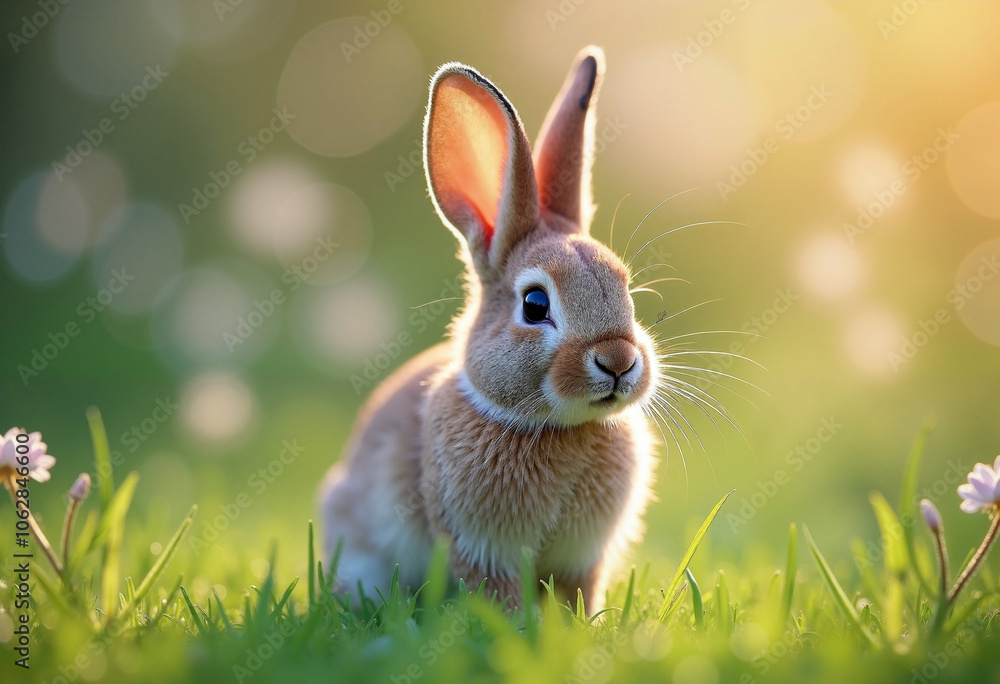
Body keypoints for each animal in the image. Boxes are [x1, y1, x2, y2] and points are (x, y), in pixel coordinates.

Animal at [319, 45, 659, 613]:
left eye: (624, 286)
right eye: (535, 304)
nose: (618, 361)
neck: (558, 426)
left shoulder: (581, 559)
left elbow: (577, 593)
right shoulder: (480, 549)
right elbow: (497, 596)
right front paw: (520, 629)